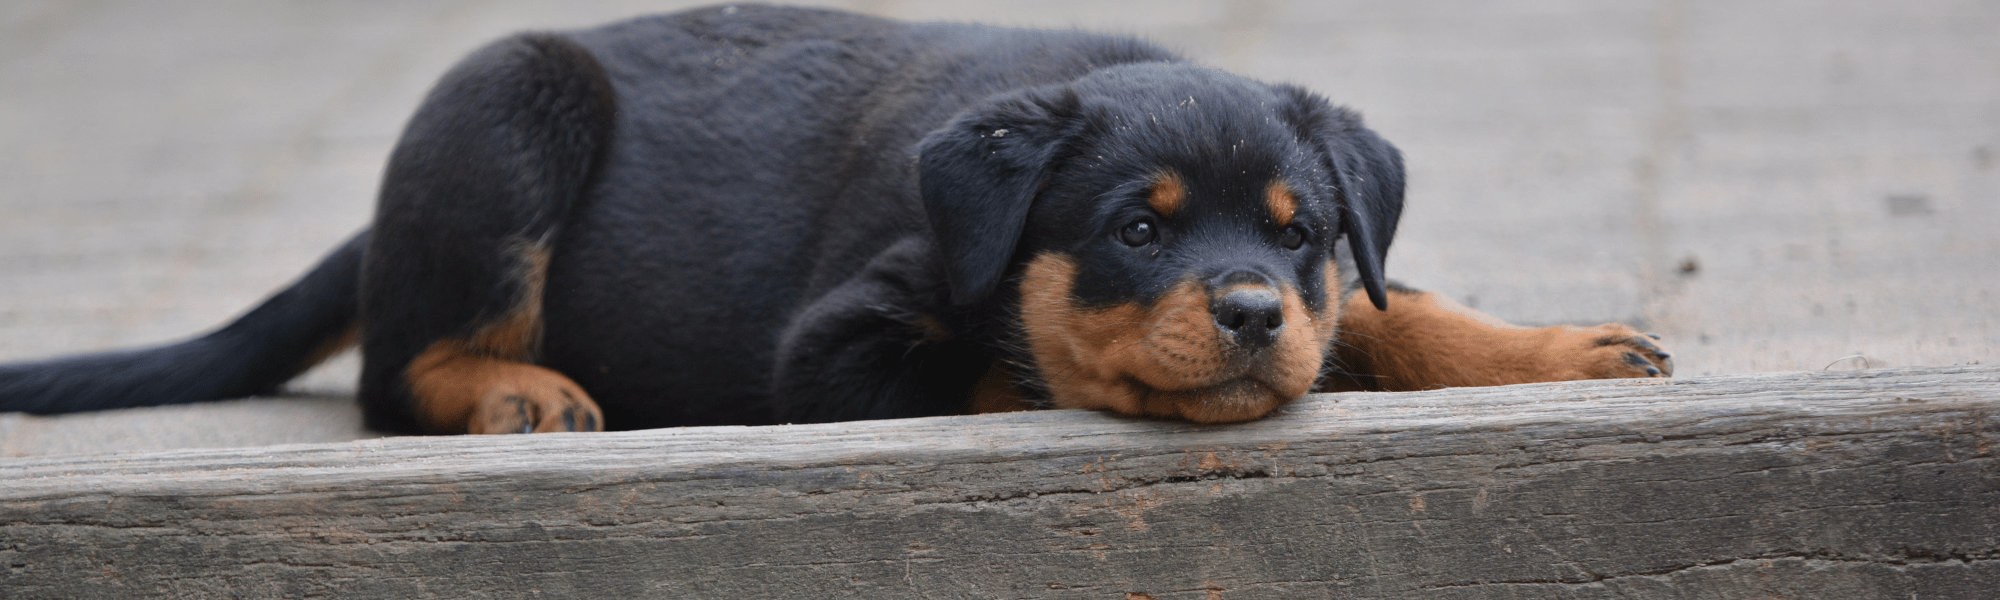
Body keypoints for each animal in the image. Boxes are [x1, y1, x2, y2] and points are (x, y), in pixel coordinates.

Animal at [0, 5, 1672, 436]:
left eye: (1301, 233)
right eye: (1136, 233)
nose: (1256, 312)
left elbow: (1398, 305)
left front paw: (1565, 347)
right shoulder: (831, 350)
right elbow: (1001, 363)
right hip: (504, 110)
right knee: (392, 369)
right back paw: (523, 390)